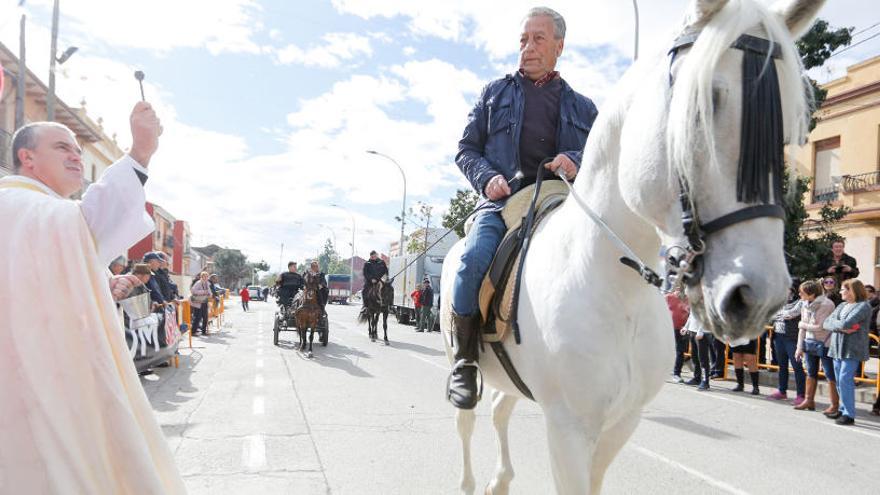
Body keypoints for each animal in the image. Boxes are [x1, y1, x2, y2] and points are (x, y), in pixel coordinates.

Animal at [444, 1, 820, 494]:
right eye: (701, 109)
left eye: (785, 128)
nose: (757, 294)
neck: (614, 288)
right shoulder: (568, 429)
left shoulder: (623, 423)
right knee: (467, 419)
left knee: (500, 411)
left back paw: (500, 480)